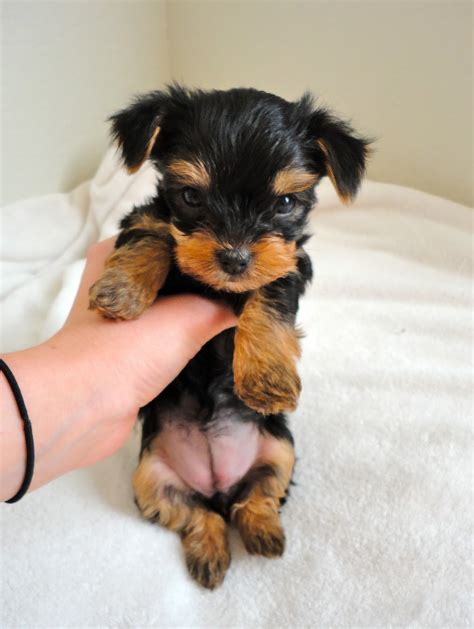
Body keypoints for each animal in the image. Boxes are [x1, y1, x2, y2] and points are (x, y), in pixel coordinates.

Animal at [89, 84, 370, 588]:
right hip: (149, 478)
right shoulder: (145, 219)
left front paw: (266, 378)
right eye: (190, 196)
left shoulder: (288, 263)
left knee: (255, 496)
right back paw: (210, 553)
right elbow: (153, 235)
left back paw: (262, 533)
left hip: (280, 449)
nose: (235, 258)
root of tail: (217, 487)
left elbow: (269, 297)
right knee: (196, 513)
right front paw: (121, 290)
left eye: (285, 204)